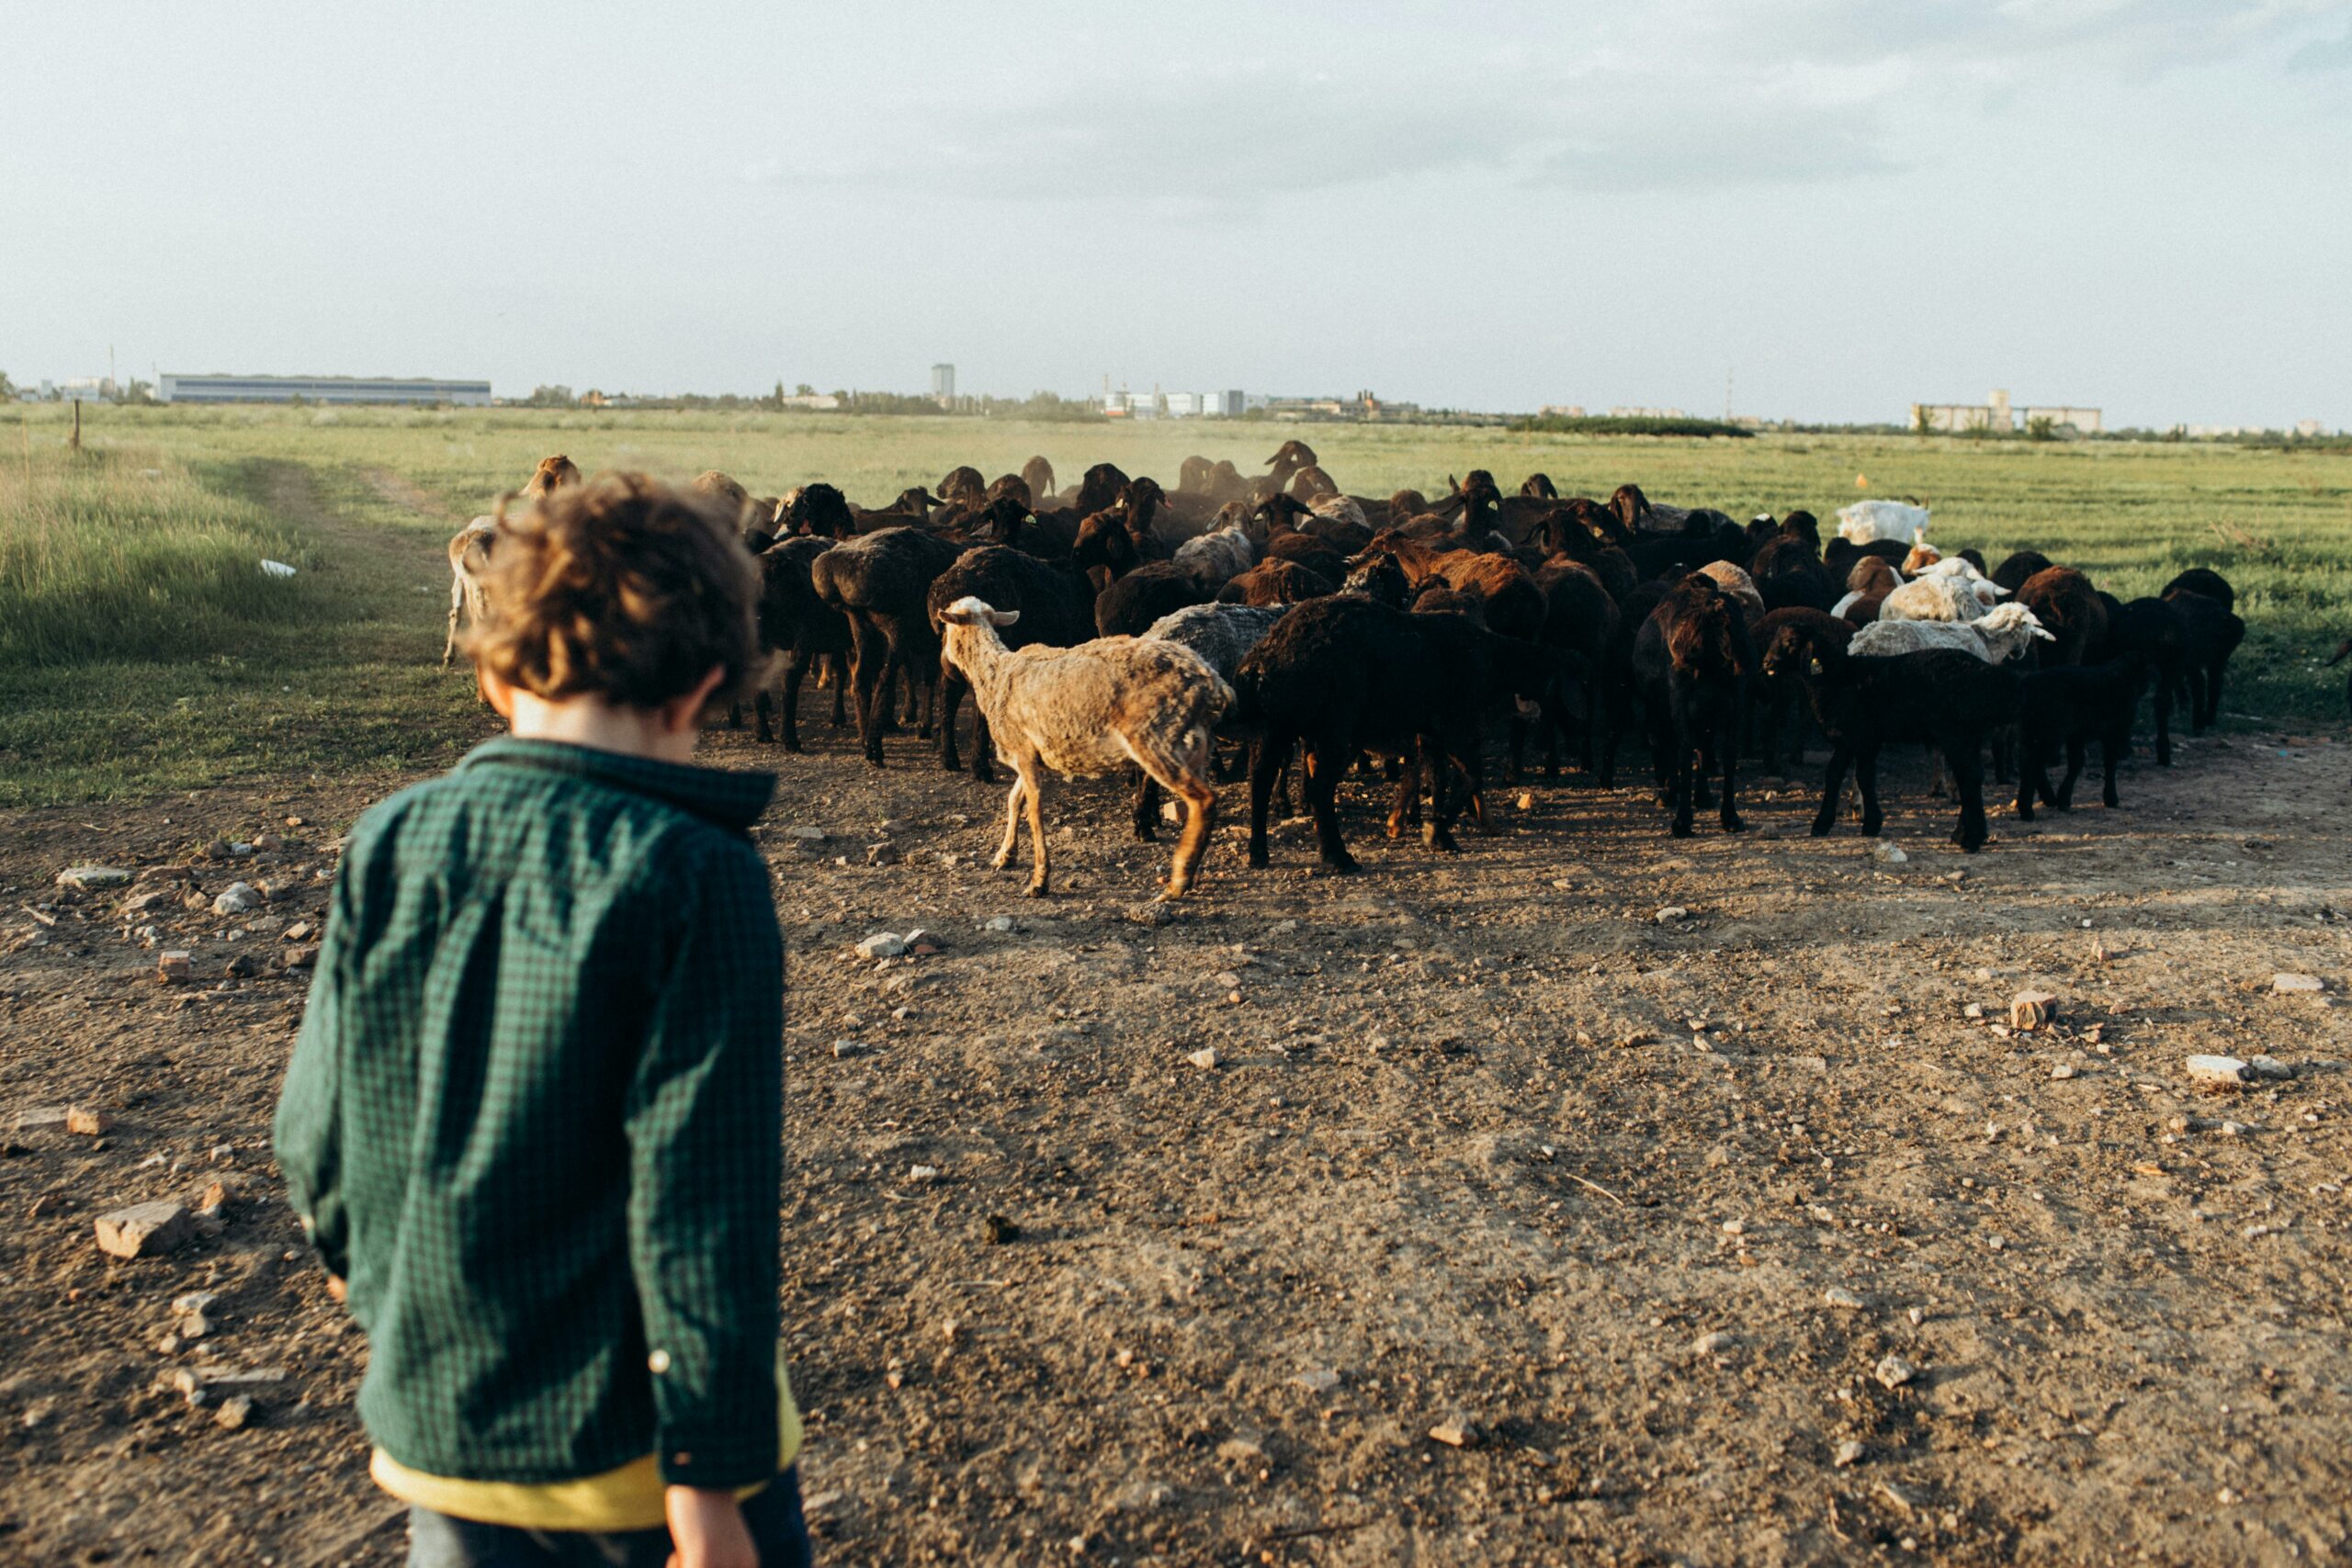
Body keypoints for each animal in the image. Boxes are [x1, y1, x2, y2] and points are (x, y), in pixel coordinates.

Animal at [931, 597, 1232, 902]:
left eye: (944, 630)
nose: (943, 664)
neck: (993, 675)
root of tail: (1213, 685)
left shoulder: (1024, 755)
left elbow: (1035, 813)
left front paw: (1039, 880)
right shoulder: (1031, 755)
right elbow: (1014, 800)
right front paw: (1006, 854)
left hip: (1158, 738)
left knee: (1203, 800)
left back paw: (1177, 881)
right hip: (1196, 744)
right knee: (1204, 804)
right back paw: (1189, 870)